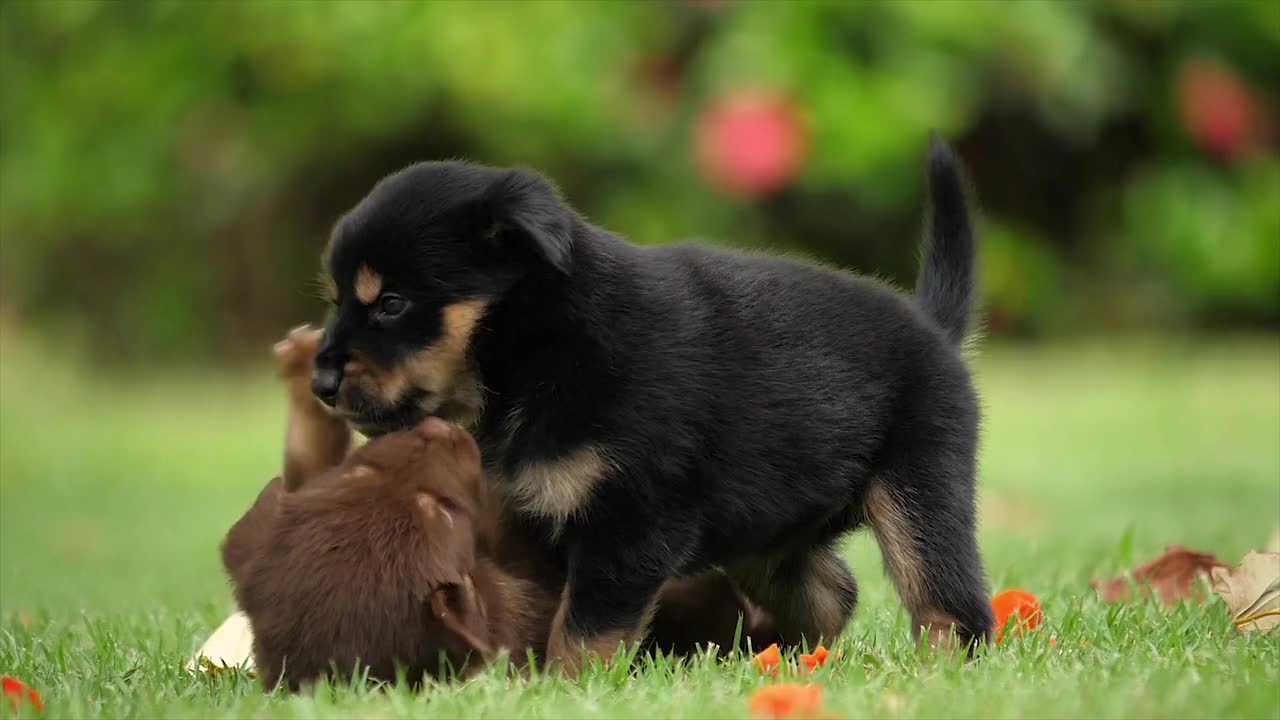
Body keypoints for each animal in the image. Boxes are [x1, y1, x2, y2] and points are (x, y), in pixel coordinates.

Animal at [221, 327, 773, 686]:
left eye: (361, 473)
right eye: (444, 510)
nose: (436, 428)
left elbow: (302, 470)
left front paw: (303, 372)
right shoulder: (521, 591)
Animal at [314, 135, 993, 666]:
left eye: (392, 303)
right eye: (337, 301)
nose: (320, 383)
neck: (544, 347)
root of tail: (933, 328)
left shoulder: (631, 523)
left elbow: (583, 633)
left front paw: (567, 689)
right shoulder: (534, 522)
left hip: (919, 492)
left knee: (951, 606)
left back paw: (940, 671)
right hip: (766, 536)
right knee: (835, 590)